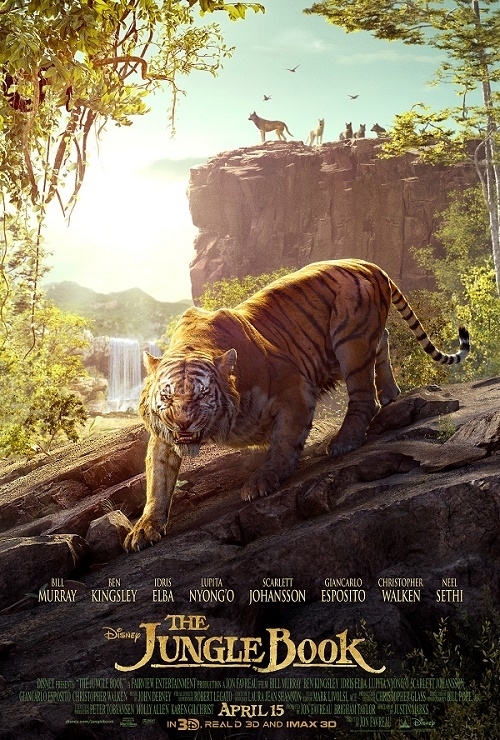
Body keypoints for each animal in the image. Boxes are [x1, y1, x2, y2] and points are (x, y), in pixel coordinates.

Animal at [123, 259, 469, 552]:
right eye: (166, 396)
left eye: (201, 394)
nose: (182, 424)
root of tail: (366, 262)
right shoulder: (162, 436)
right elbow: (158, 480)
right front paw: (144, 528)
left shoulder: (295, 387)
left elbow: (284, 440)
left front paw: (262, 480)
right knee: (382, 340)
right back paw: (390, 393)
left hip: (350, 338)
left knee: (363, 396)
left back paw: (344, 441)